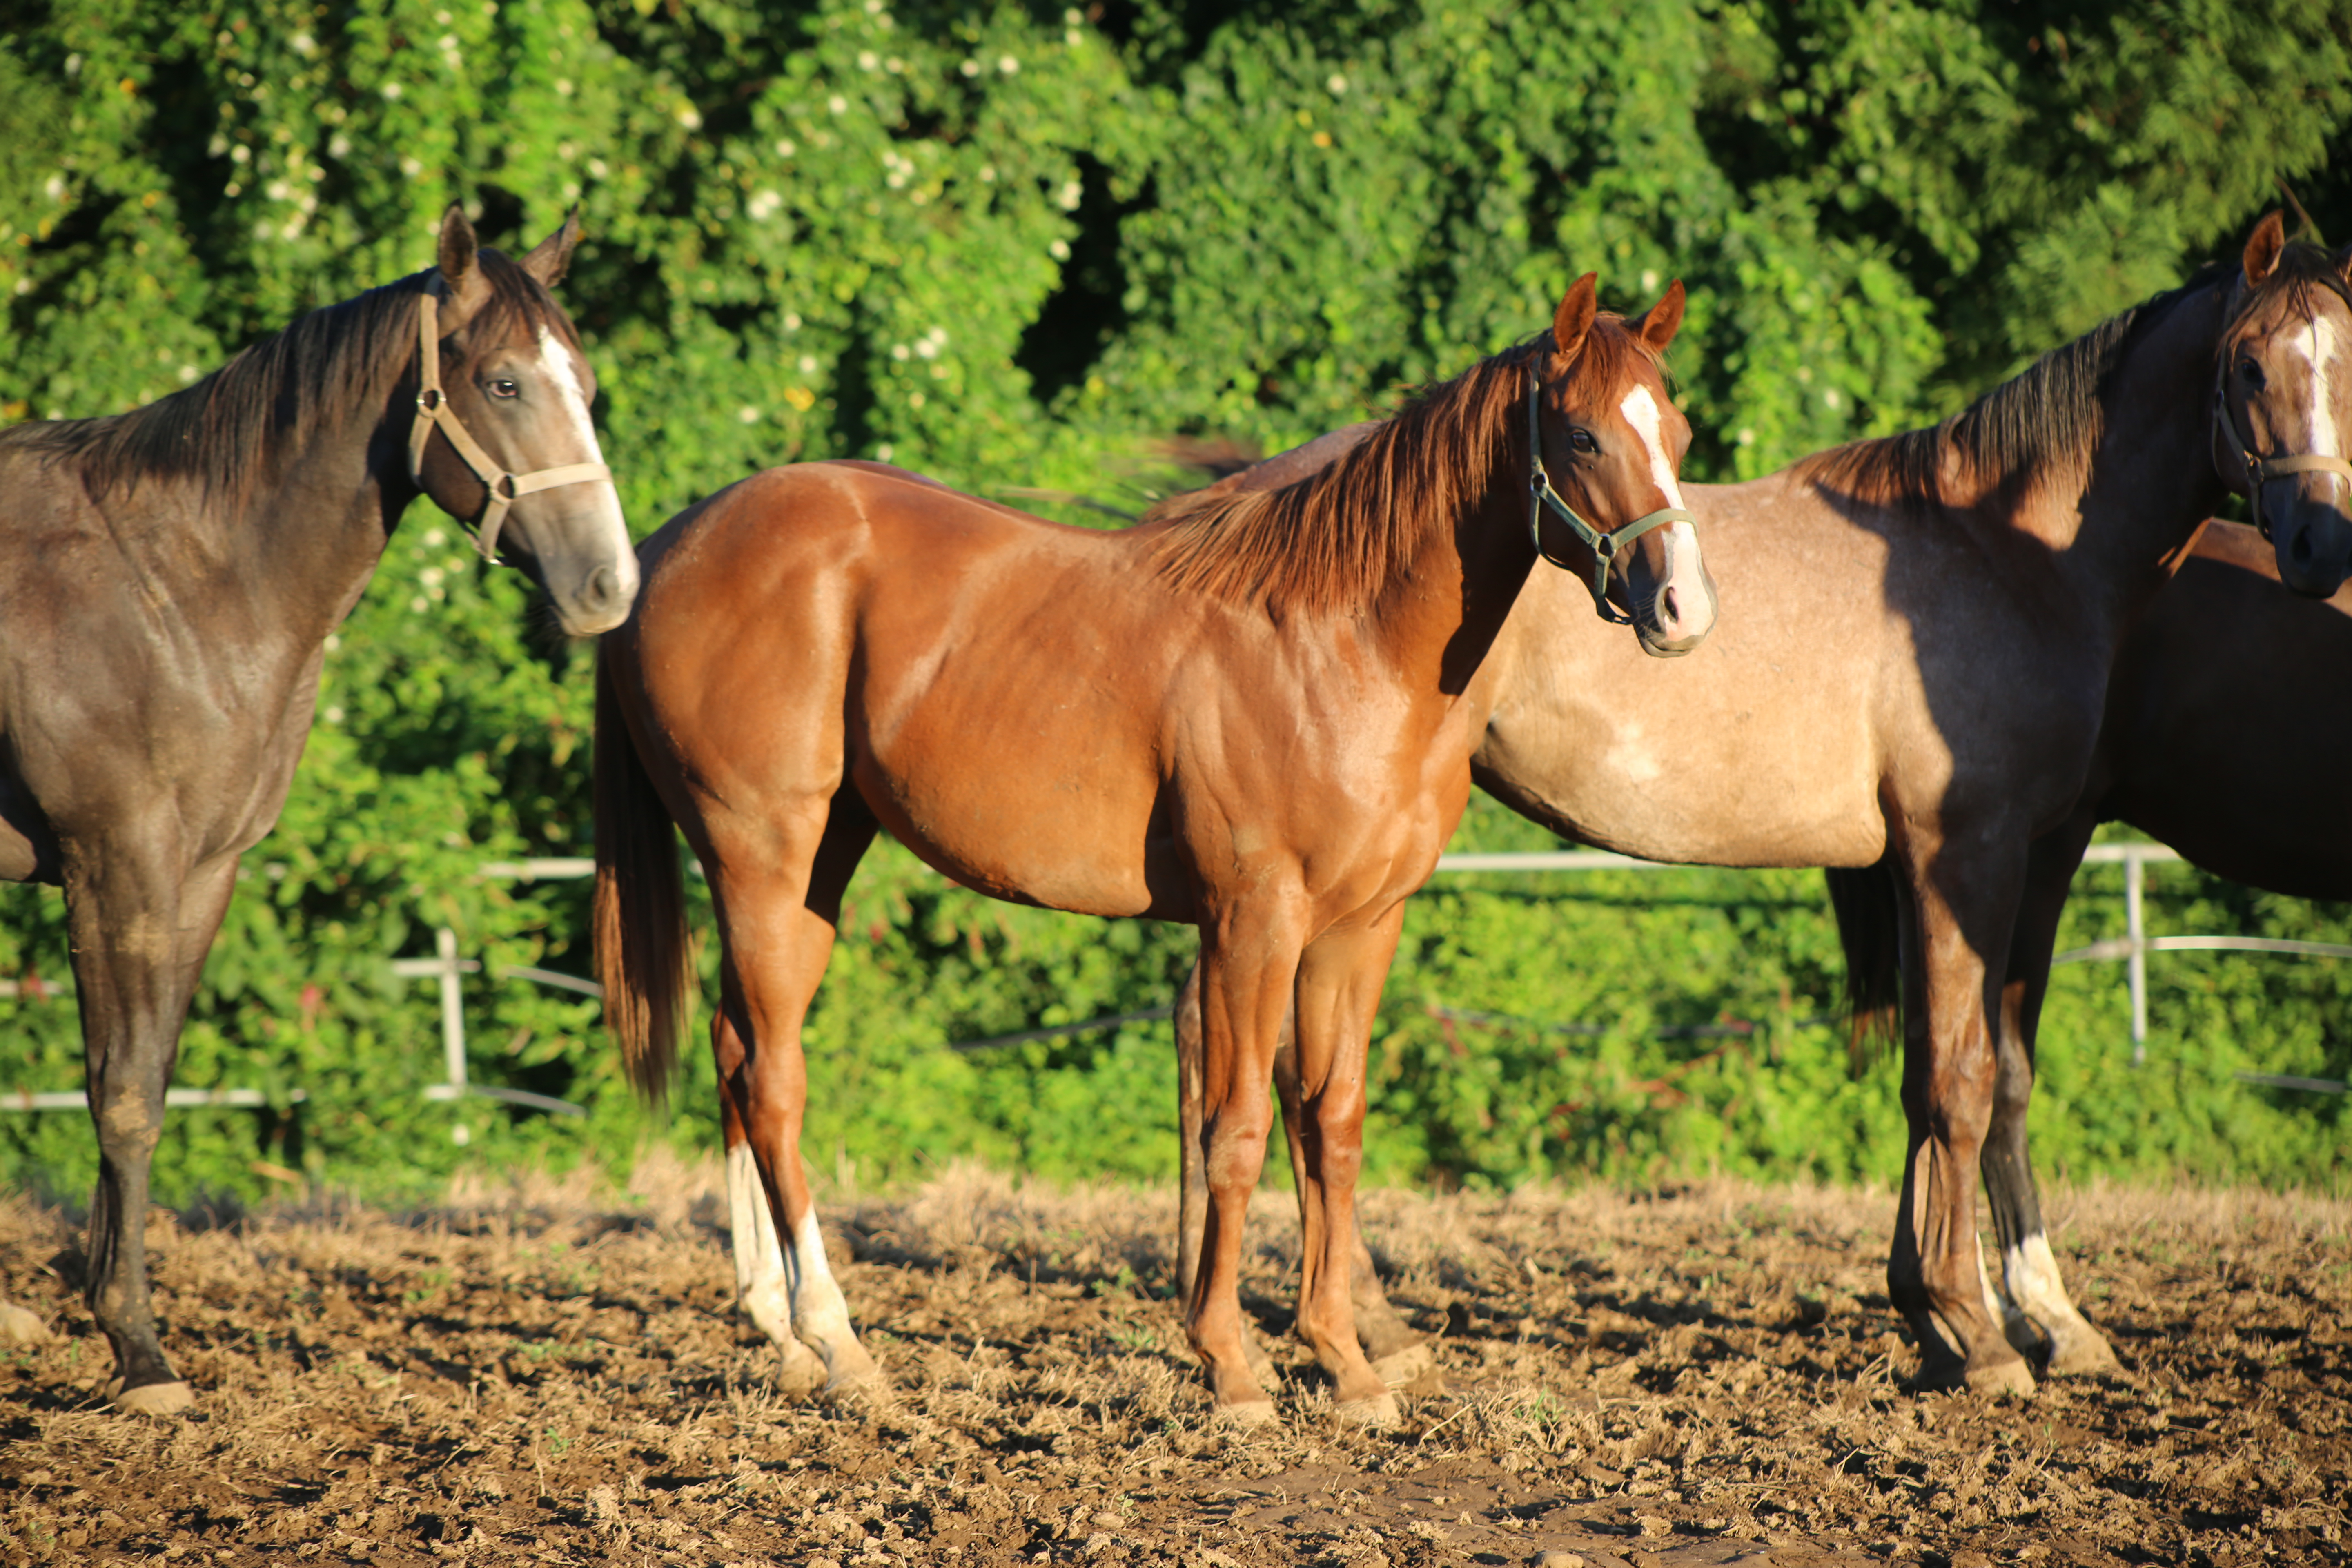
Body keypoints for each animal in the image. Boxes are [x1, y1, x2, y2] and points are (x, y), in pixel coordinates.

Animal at [0, 202, 639, 1420]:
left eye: (585, 382)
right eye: (502, 383)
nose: (609, 588)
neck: (175, 588)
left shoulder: (203, 872)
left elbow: (147, 1076)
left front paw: (110, 1313)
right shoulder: (119, 863)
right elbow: (121, 1095)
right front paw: (142, 1356)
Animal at [597, 276, 1712, 1429]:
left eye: (1676, 433)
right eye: (1581, 434)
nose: (1683, 609)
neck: (1335, 640)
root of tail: (671, 545)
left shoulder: (1359, 928)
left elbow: (1333, 1124)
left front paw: (1344, 1363)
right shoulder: (1251, 922)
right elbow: (1236, 1130)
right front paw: (1230, 1365)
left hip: (819, 864)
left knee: (736, 1054)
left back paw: (778, 1332)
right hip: (758, 858)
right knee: (774, 1080)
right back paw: (839, 1343)